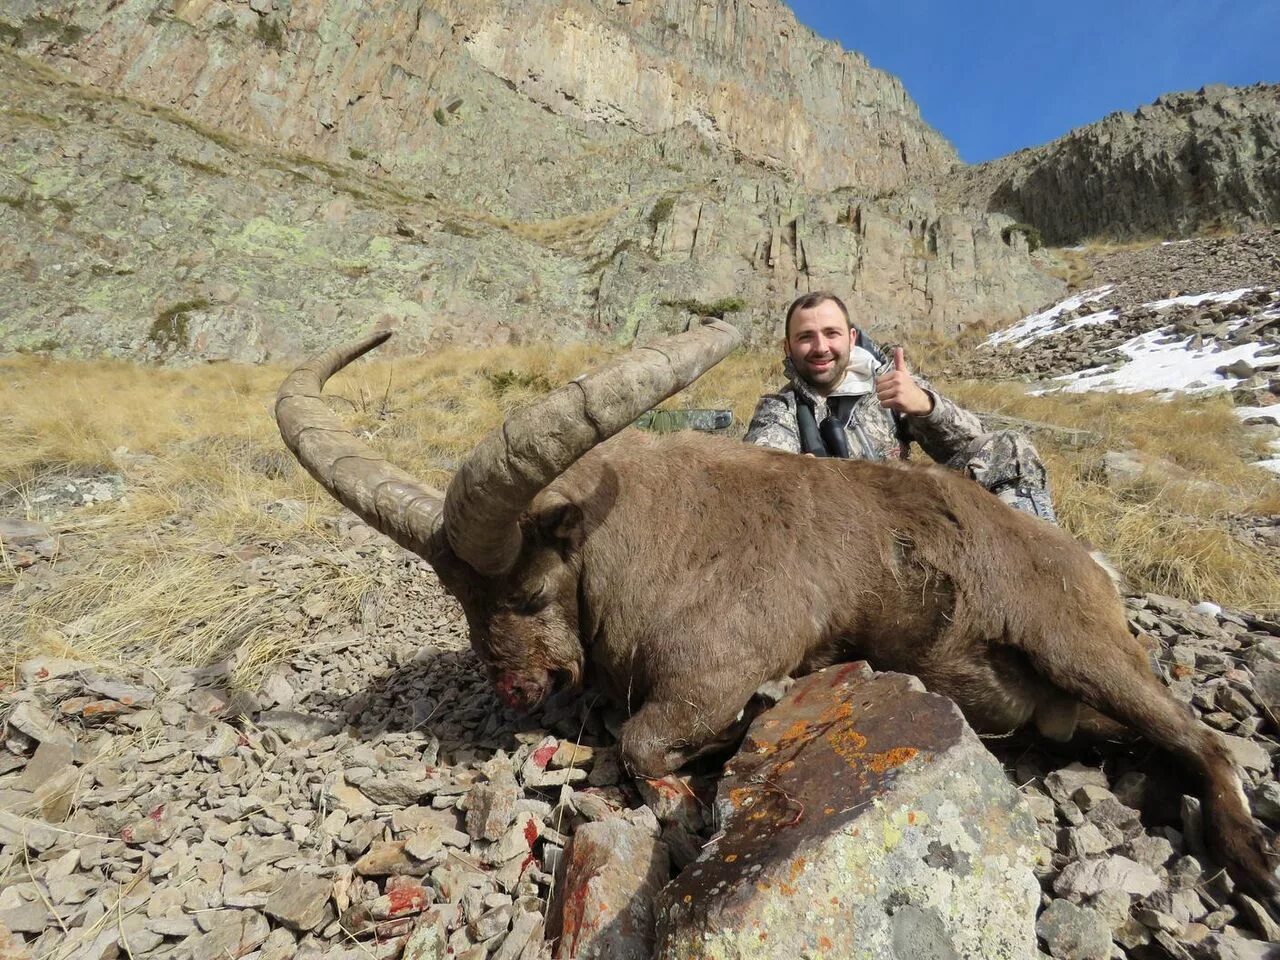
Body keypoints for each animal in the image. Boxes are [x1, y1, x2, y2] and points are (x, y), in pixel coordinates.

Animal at [275, 323, 1274, 901]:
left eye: (526, 591)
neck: (638, 534)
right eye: (459, 598)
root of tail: (1091, 568)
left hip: (1075, 646)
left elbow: (644, 744)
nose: (518, 689)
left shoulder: (715, 664)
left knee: (1207, 742)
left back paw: (1250, 861)